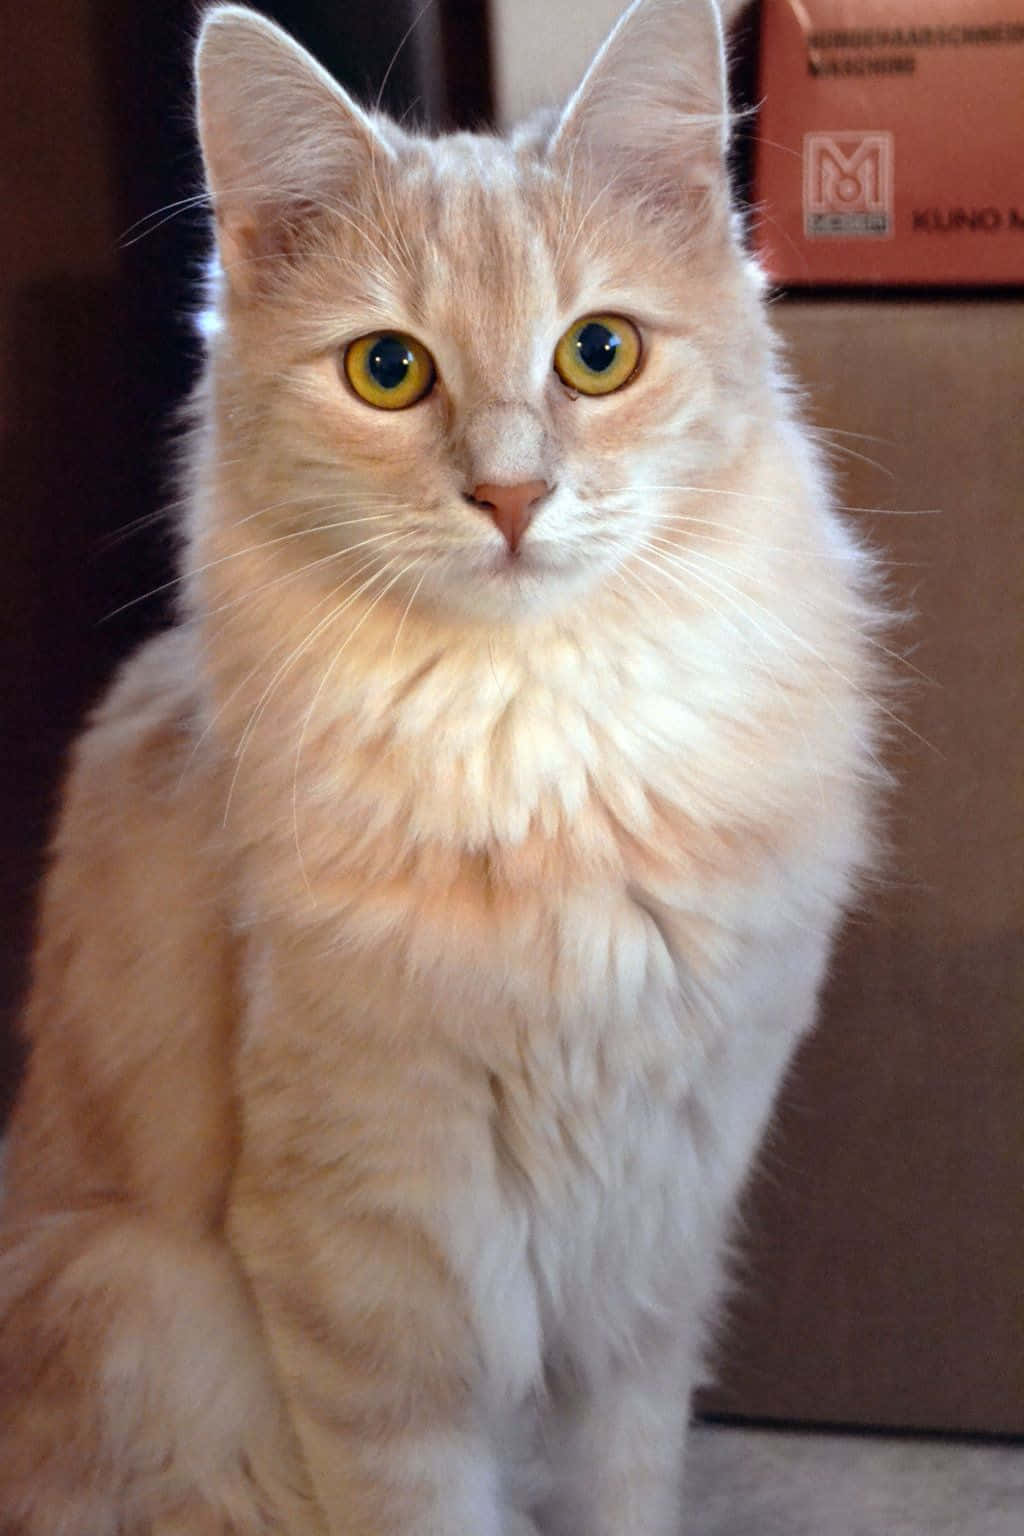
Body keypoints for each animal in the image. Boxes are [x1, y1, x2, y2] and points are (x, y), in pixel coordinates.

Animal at [0, 3, 884, 1536]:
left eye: (599, 353)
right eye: (387, 372)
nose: (513, 496)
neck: (550, 776)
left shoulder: (654, 1247)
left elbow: (627, 1484)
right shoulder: (373, 1280)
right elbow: (426, 1500)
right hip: (146, 1324)